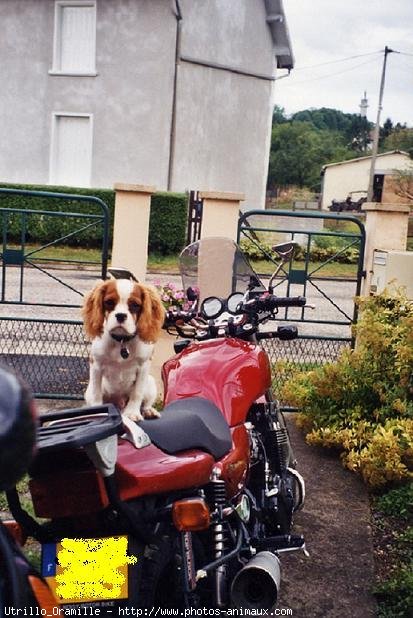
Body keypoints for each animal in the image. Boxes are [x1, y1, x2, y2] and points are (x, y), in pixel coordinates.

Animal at [81, 276, 165, 422]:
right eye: (109, 302)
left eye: (135, 305)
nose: (120, 315)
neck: (122, 341)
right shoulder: (96, 366)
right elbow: (97, 394)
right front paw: (98, 413)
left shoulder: (143, 367)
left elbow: (137, 393)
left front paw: (132, 413)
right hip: (89, 391)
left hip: (150, 383)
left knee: (146, 402)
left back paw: (149, 411)